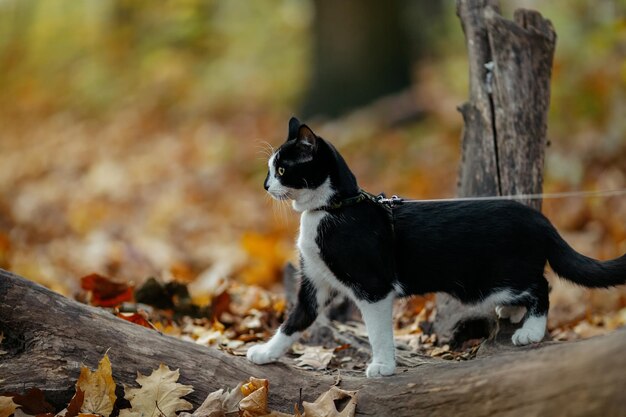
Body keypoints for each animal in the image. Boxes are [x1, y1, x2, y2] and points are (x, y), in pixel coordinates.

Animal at [245, 116, 624, 376]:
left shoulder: (373, 287)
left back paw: (530, 331)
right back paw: (513, 314)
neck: (332, 210)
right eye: (269, 170)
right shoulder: (315, 282)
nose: (264, 186)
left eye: (281, 170)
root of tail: (539, 219)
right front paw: (266, 352)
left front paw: (383, 366)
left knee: (542, 287)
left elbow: (377, 332)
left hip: (495, 279)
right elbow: (296, 320)